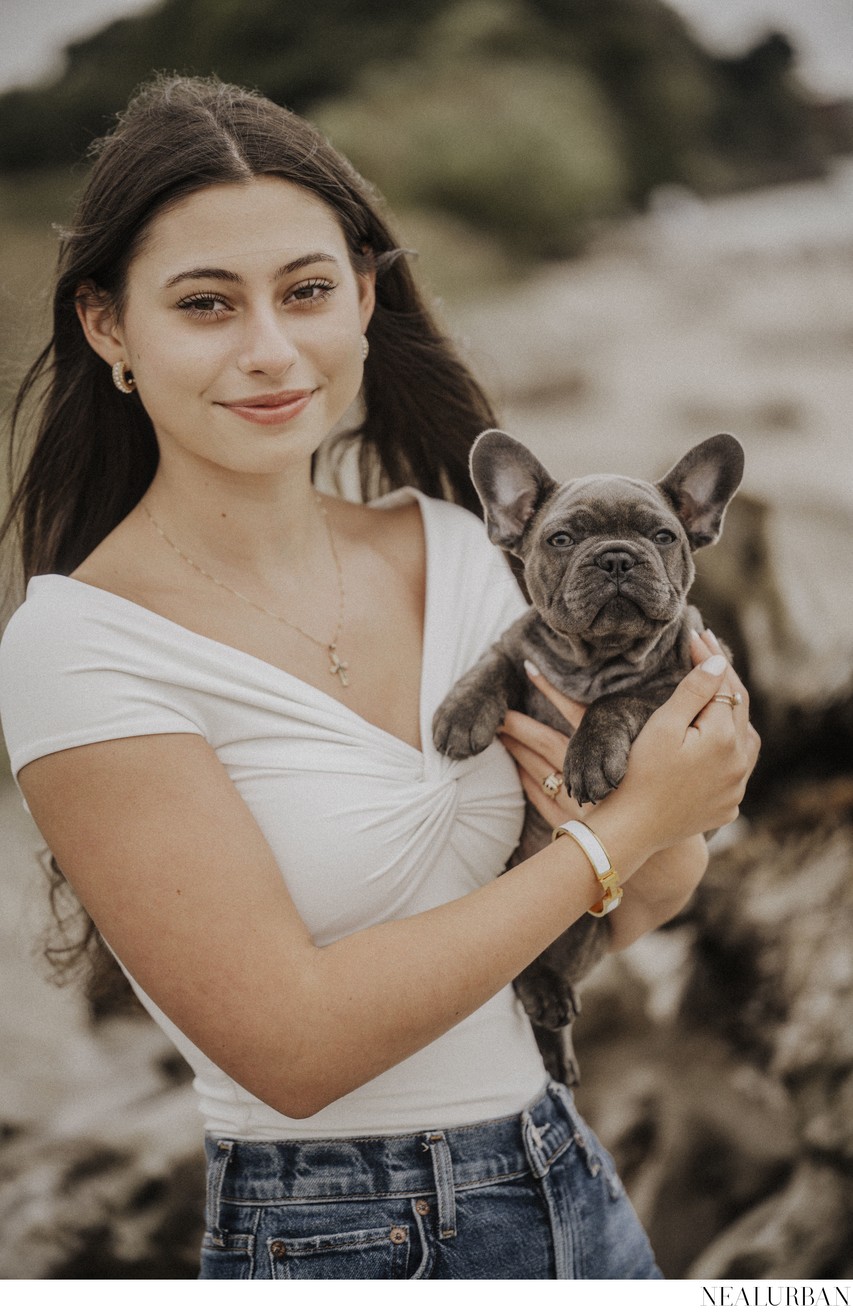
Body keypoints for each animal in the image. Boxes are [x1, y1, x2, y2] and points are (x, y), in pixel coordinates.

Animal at [433, 425, 734, 1081]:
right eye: (562, 539)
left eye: (663, 536)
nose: (616, 556)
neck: (593, 661)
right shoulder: (516, 644)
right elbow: (494, 661)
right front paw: (461, 713)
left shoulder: (678, 686)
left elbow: (618, 701)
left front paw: (589, 755)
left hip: (589, 931)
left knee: (540, 965)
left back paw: (552, 1017)